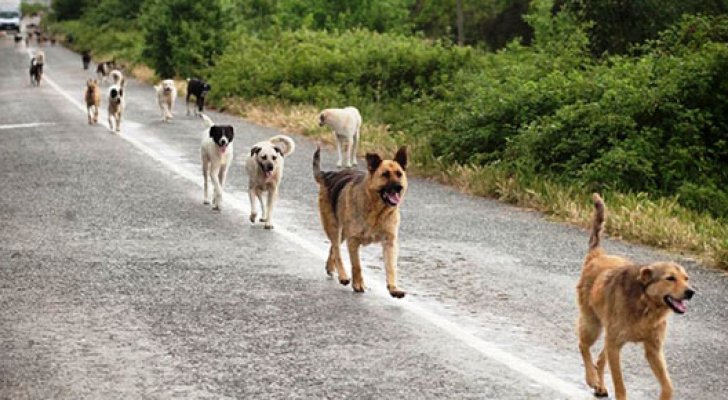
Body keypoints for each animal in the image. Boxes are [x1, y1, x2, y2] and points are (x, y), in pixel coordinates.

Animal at [313, 146, 408, 298]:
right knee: (337, 250)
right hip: (334, 228)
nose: (399, 187)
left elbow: (391, 267)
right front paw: (358, 284)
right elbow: (357, 265)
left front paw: (393, 288)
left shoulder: (390, 242)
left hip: (342, 233)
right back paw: (343, 276)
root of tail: (327, 175)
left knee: (333, 248)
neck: (377, 211)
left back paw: (330, 267)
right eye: (385, 174)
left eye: (399, 174)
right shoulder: (353, 241)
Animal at [577, 194, 695, 400]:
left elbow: (668, 386)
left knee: (600, 358)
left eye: (686, 278)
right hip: (593, 325)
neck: (646, 304)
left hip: (608, 335)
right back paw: (592, 378)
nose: (690, 292)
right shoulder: (615, 344)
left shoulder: (653, 349)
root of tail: (597, 255)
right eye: (670, 278)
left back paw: (600, 385)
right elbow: (620, 384)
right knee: (583, 346)